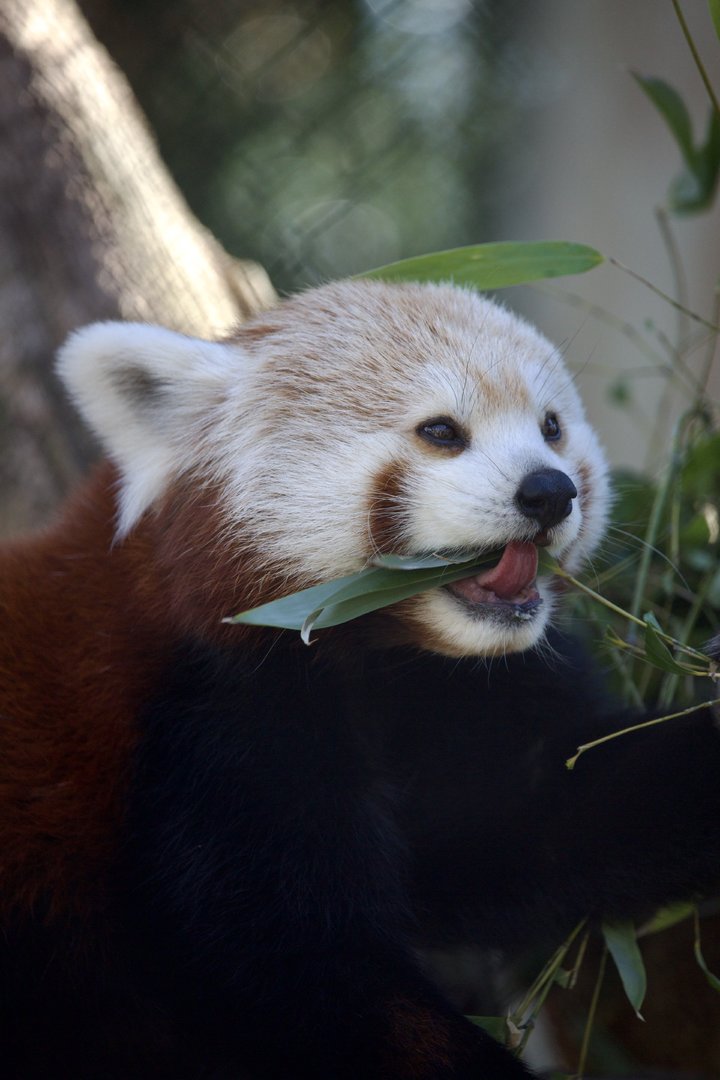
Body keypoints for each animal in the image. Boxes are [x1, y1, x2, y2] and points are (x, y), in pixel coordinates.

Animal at [0, 279, 718, 1079]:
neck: (383, 656)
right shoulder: (212, 724)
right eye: (442, 431)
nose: (550, 492)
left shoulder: (469, 701)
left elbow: (533, 819)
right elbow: (297, 974)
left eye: (553, 427)